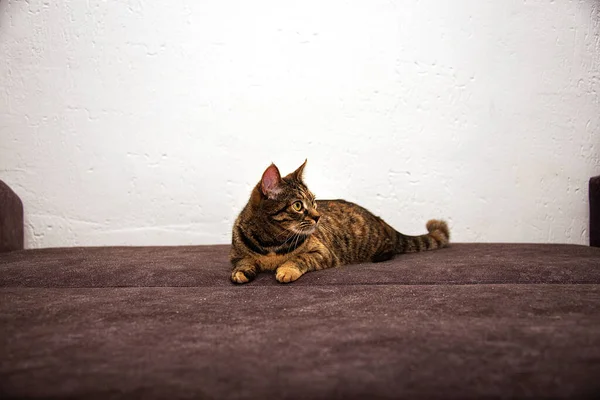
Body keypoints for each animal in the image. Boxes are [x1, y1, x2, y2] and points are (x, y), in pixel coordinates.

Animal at [230, 160, 450, 284]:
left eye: (314, 202)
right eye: (298, 206)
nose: (318, 216)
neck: (272, 244)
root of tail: (381, 221)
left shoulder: (322, 252)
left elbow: (299, 258)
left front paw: (287, 269)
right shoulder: (236, 255)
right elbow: (244, 261)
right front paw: (241, 271)